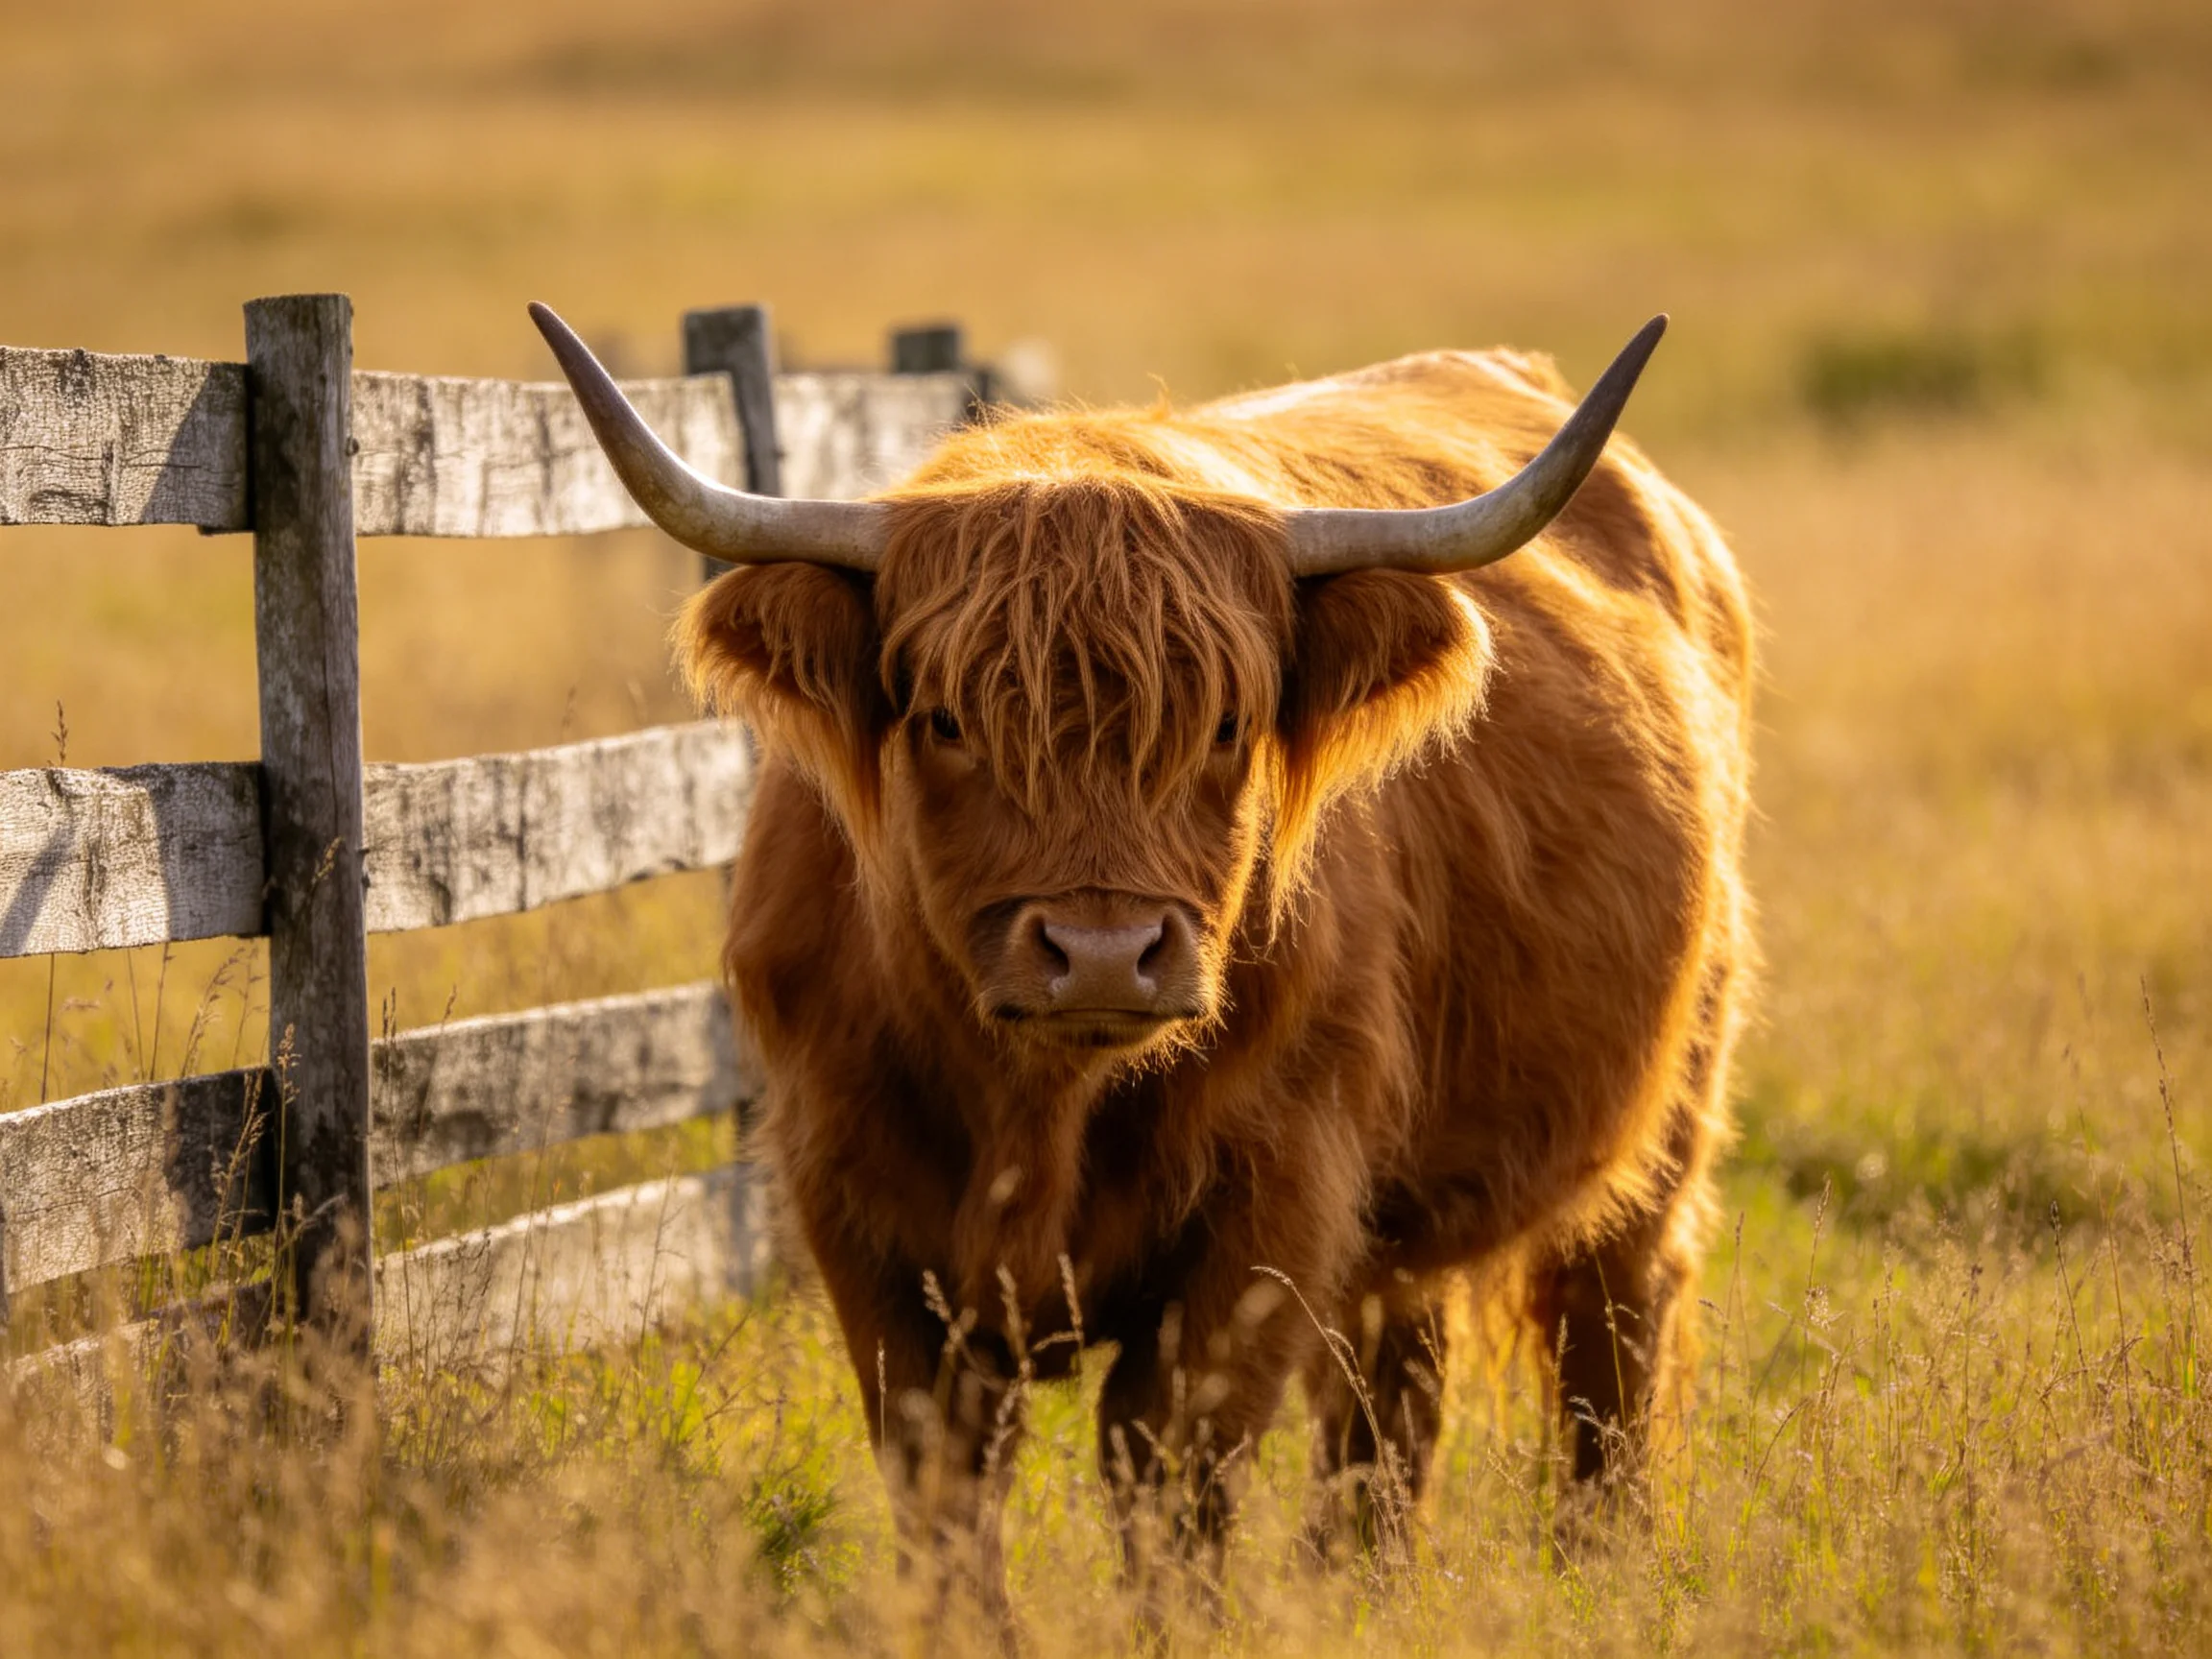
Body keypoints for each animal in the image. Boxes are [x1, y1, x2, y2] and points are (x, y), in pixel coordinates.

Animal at [530, 302, 1754, 1614]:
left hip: (1665, 1115)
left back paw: (1601, 1571)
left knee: (1610, 1336)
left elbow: (1170, 1481)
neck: (1039, 1108)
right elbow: (945, 1490)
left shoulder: (1271, 1208)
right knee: (1393, 1386)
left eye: (1225, 723)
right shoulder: (858, 1214)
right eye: (947, 718)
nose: (1107, 954)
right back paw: (1355, 1592)